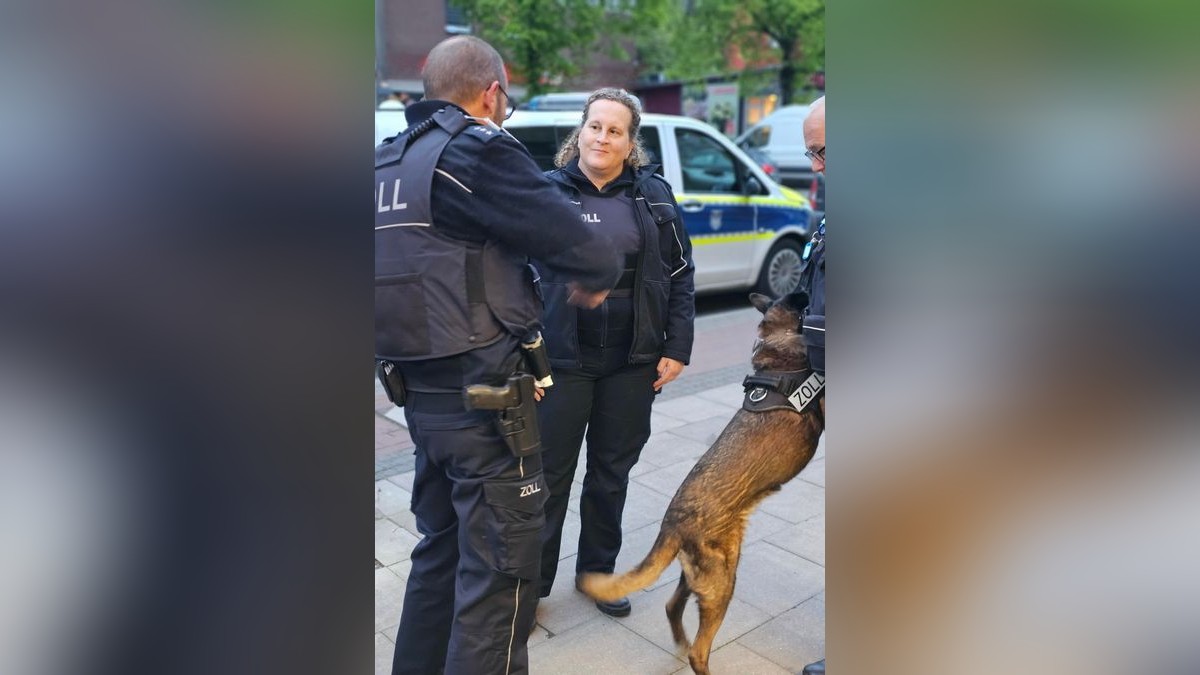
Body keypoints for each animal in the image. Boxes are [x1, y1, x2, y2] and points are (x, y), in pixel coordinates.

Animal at [573, 290, 820, 672]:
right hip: (722, 581)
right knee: (698, 650)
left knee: (672, 606)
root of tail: (671, 524)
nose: (805, 291)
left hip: (700, 574)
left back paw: (679, 639)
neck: (777, 346)